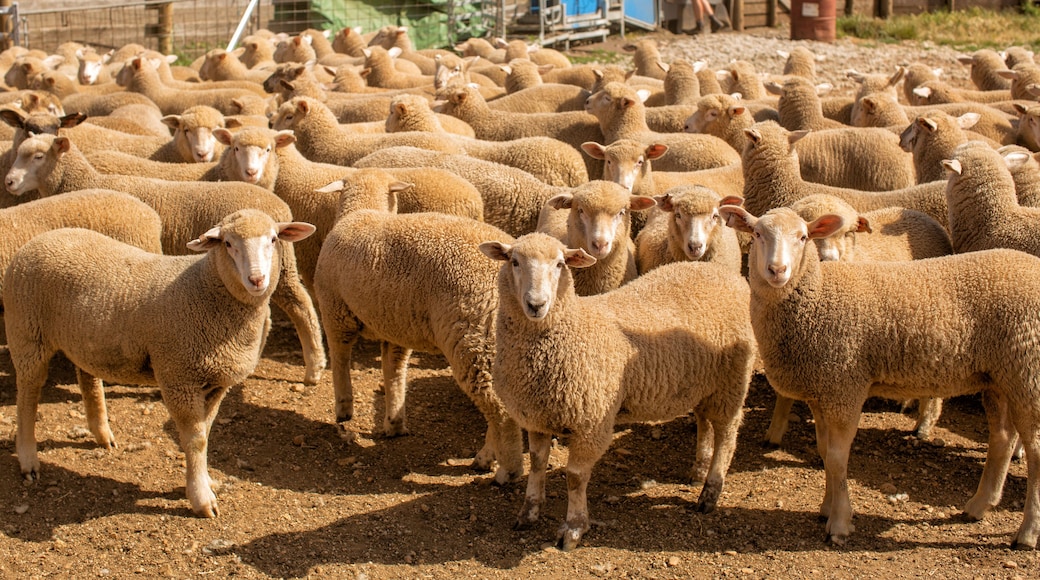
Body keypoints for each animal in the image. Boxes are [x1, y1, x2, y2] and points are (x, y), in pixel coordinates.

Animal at [5, 132, 327, 385]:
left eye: (37, 156)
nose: (9, 181)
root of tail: (280, 207)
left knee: (300, 305)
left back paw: (313, 367)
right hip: (274, 267)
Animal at [9, 209, 315, 518]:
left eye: (273, 239)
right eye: (228, 244)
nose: (257, 279)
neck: (204, 289)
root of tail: (40, 240)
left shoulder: (216, 383)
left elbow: (206, 433)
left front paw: (204, 481)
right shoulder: (178, 377)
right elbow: (195, 440)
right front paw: (201, 498)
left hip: (83, 339)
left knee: (87, 378)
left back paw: (102, 434)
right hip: (27, 334)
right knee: (28, 396)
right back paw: (28, 459)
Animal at [312, 176, 524, 485]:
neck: (362, 210)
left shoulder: (335, 311)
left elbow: (340, 361)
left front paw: (343, 409)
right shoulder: (395, 326)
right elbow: (394, 371)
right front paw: (394, 422)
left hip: (474, 340)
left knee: (502, 411)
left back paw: (506, 470)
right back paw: (487, 457)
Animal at [479, 232, 756, 550]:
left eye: (560, 264)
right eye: (514, 261)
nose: (536, 304)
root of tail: (728, 276)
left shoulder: (593, 422)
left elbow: (575, 477)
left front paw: (574, 528)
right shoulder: (537, 417)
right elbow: (537, 464)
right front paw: (529, 511)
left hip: (731, 383)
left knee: (727, 434)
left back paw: (710, 492)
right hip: (703, 383)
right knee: (704, 421)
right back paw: (699, 470)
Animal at [719, 203, 1040, 549]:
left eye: (803, 236)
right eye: (757, 233)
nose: (778, 270)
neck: (817, 297)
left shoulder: (845, 386)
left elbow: (837, 458)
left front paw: (839, 523)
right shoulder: (823, 390)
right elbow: (824, 452)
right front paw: (826, 508)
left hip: (1028, 374)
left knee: (1034, 451)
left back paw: (1027, 532)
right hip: (1000, 378)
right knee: (1003, 438)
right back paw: (979, 506)